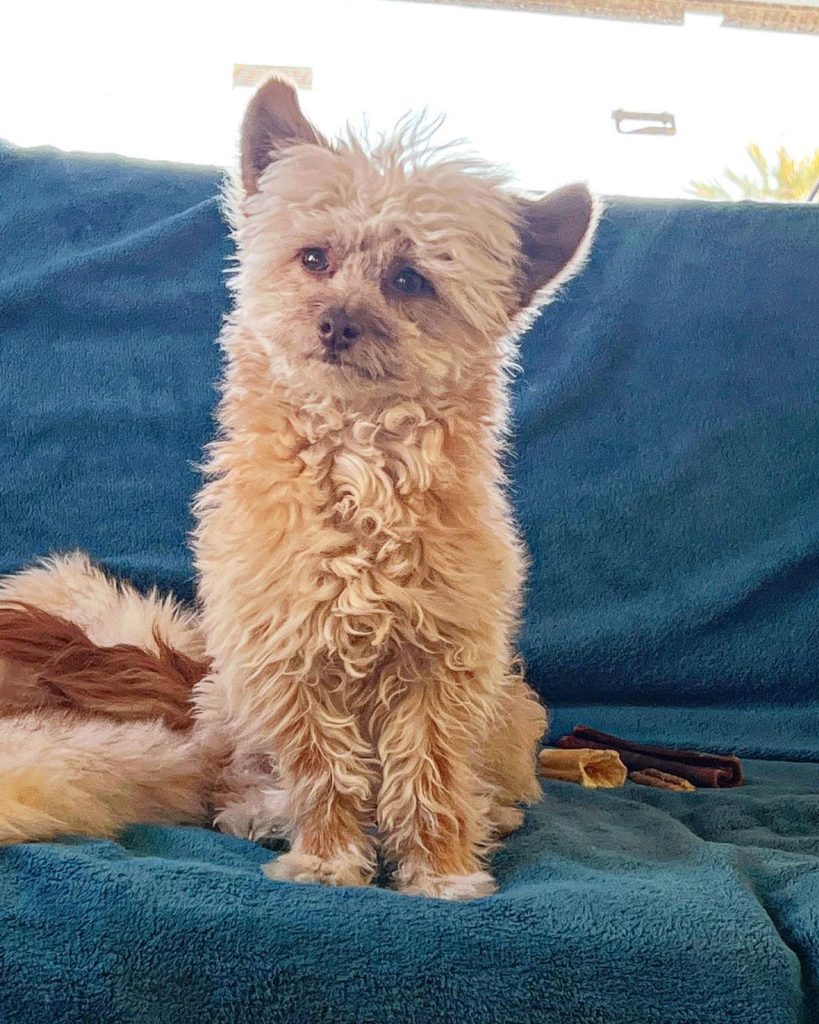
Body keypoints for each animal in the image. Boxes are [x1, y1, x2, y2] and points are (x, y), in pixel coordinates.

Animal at [0, 77, 593, 897]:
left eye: (409, 280)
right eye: (314, 257)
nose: (337, 322)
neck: (356, 466)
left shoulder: (441, 666)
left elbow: (429, 776)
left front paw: (441, 874)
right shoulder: (289, 659)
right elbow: (322, 773)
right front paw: (327, 862)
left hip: (503, 707)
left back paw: (488, 813)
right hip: (228, 699)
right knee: (237, 776)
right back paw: (260, 812)